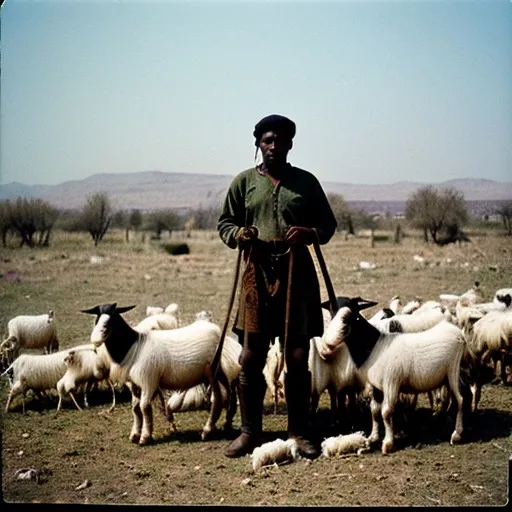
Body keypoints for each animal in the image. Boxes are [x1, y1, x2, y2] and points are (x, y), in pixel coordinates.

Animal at [82, 304, 234, 444]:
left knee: (218, 398)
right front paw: (135, 434)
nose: (95, 339)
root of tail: (215, 330)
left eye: (111, 318)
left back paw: (207, 430)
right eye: (97, 317)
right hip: (216, 372)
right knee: (227, 392)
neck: (135, 346)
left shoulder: (148, 380)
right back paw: (226, 424)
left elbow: (144, 407)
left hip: (212, 371)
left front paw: (145, 437)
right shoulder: (134, 383)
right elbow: (135, 408)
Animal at [320, 298, 468, 454]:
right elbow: (374, 411)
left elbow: (386, 411)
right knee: (450, 399)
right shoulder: (375, 385)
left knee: (460, 399)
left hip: (453, 371)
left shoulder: (391, 382)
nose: (326, 343)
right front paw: (373, 437)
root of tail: (458, 333)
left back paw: (456, 435)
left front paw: (388, 443)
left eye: (349, 317)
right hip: (446, 377)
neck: (375, 345)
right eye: (332, 311)